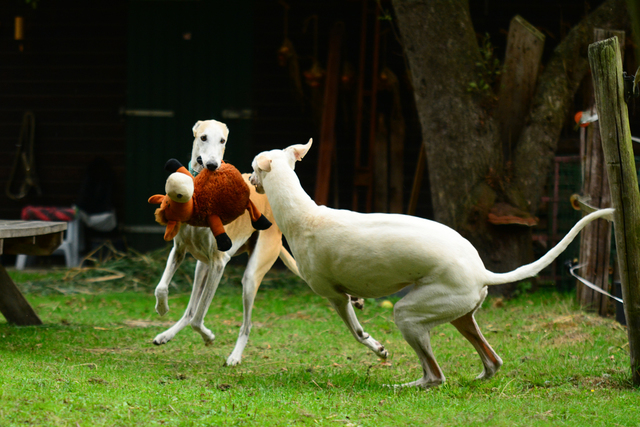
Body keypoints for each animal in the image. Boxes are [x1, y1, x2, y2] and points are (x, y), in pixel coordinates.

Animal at [250, 140, 616, 388]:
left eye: (254, 168)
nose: (248, 179)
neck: (304, 215)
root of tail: (481, 270)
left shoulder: (333, 296)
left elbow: (357, 332)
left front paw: (379, 349)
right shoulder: (344, 293)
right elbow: (356, 301)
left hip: (410, 316)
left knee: (435, 375)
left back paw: (403, 385)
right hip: (460, 316)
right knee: (492, 361)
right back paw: (476, 376)